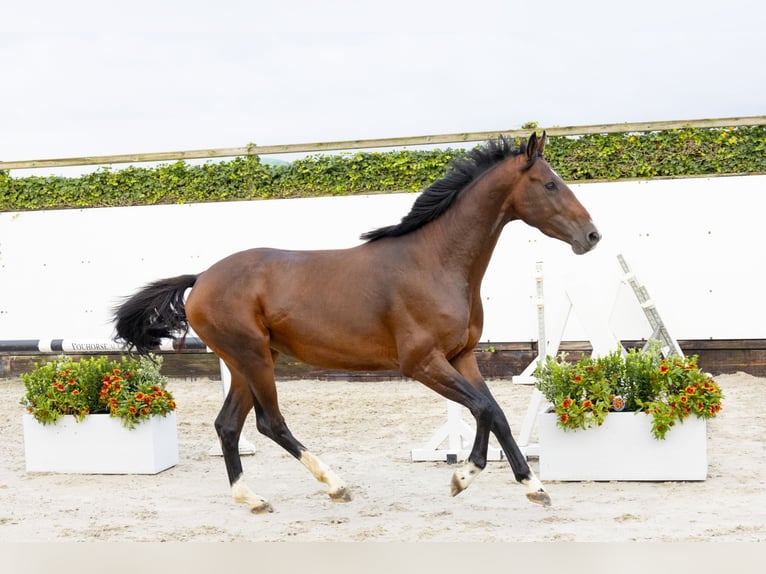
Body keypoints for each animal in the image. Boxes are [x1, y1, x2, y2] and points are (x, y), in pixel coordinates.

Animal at [115, 133, 600, 516]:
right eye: (550, 184)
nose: (592, 236)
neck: (435, 262)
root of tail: (201, 278)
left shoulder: (461, 357)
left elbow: (494, 412)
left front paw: (532, 487)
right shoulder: (421, 363)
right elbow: (483, 409)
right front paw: (463, 477)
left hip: (246, 362)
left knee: (228, 425)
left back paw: (251, 498)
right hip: (253, 358)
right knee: (270, 423)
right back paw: (335, 485)